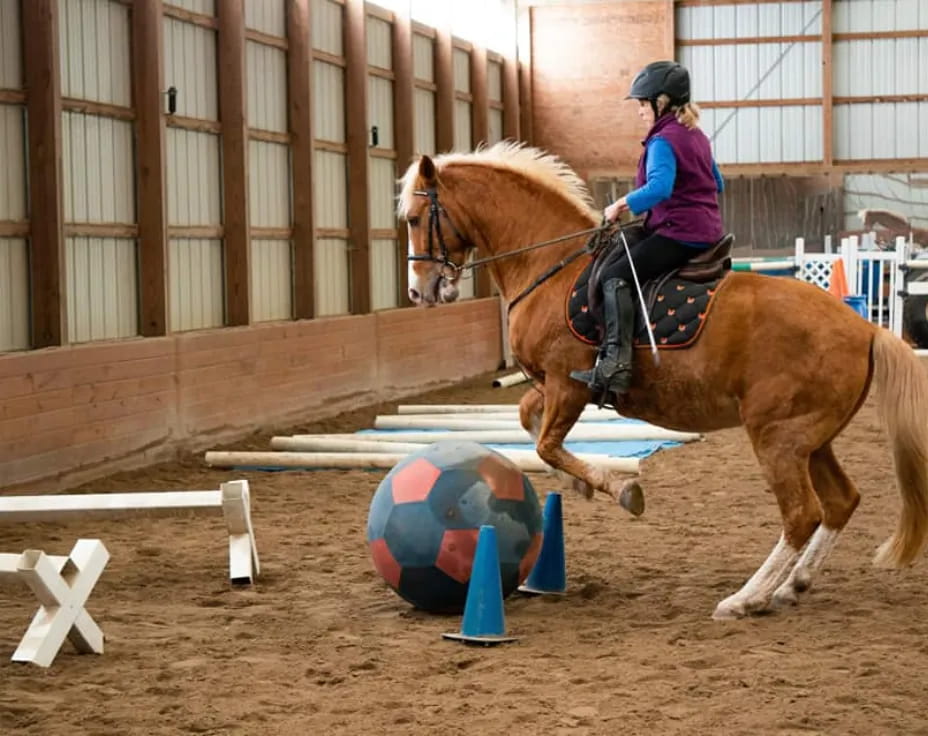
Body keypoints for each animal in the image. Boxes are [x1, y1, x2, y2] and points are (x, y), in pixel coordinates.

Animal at [402, 141, 928, 620]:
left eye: (412, 218)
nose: (418, 292)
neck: (551, 267)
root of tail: (865, 328)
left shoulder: (568, 385)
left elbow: (547, 445)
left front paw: (620, 490)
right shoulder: (552, 386)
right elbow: (527, 419)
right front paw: (579, 483)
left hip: (778, 436)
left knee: (803, 514)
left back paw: (746, 598)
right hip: (811, 440)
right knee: (841, 502)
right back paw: (792, 585)